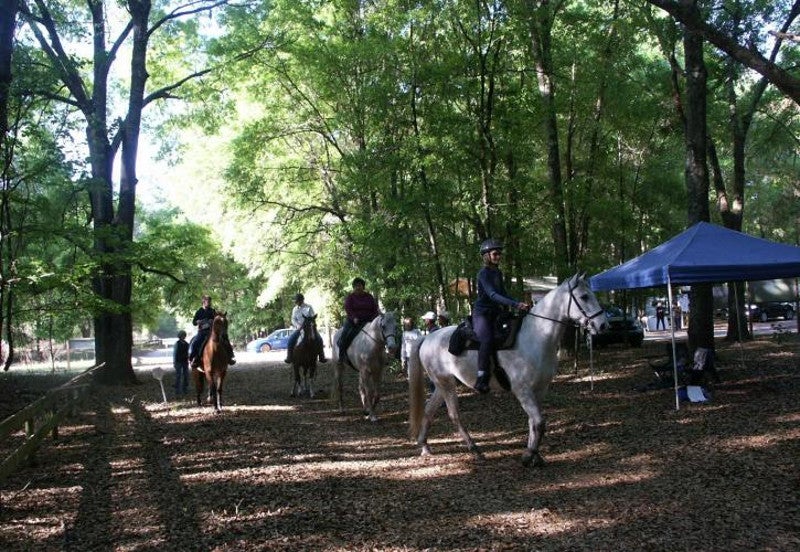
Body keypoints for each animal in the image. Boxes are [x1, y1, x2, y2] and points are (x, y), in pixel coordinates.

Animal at [406, 272, 608, 466]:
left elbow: (533, 422)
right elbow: (539, 422)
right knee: (454, 415)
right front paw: (529, 455)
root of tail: (427, 338)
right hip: (446, 384)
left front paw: (535, 456)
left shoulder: (540, 389)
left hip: (442, 385)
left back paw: (424, 446)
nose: (603, 325)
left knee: (429, 410)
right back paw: (474, 449)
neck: (536, 337)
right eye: (584, 296)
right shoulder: (522, 390)